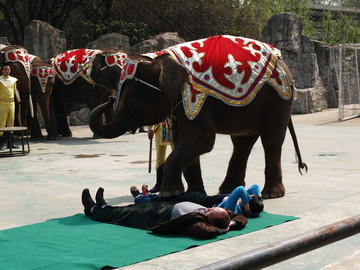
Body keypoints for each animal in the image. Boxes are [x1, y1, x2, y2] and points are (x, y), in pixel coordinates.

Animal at [87, 34, 306, 198]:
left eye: (133, 101)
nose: (109, 97)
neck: (160, 58)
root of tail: (282, 62)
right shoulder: (182, 103)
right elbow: (181, 141)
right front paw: (190, 193)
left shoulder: (198, 97)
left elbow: (202, 139)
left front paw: (168, 194)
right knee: (242, 141)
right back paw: (227, 190)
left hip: (279, 98)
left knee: (271, 139)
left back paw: (271, 194)